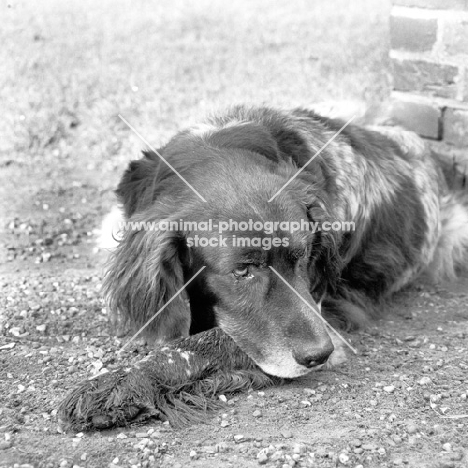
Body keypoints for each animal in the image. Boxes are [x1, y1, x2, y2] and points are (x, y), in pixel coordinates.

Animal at [57, 104, 468, 430]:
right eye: (242, 271)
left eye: (305, 256)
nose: (320, 355)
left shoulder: (323, 313)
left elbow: (203, 342)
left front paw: (122, 382)